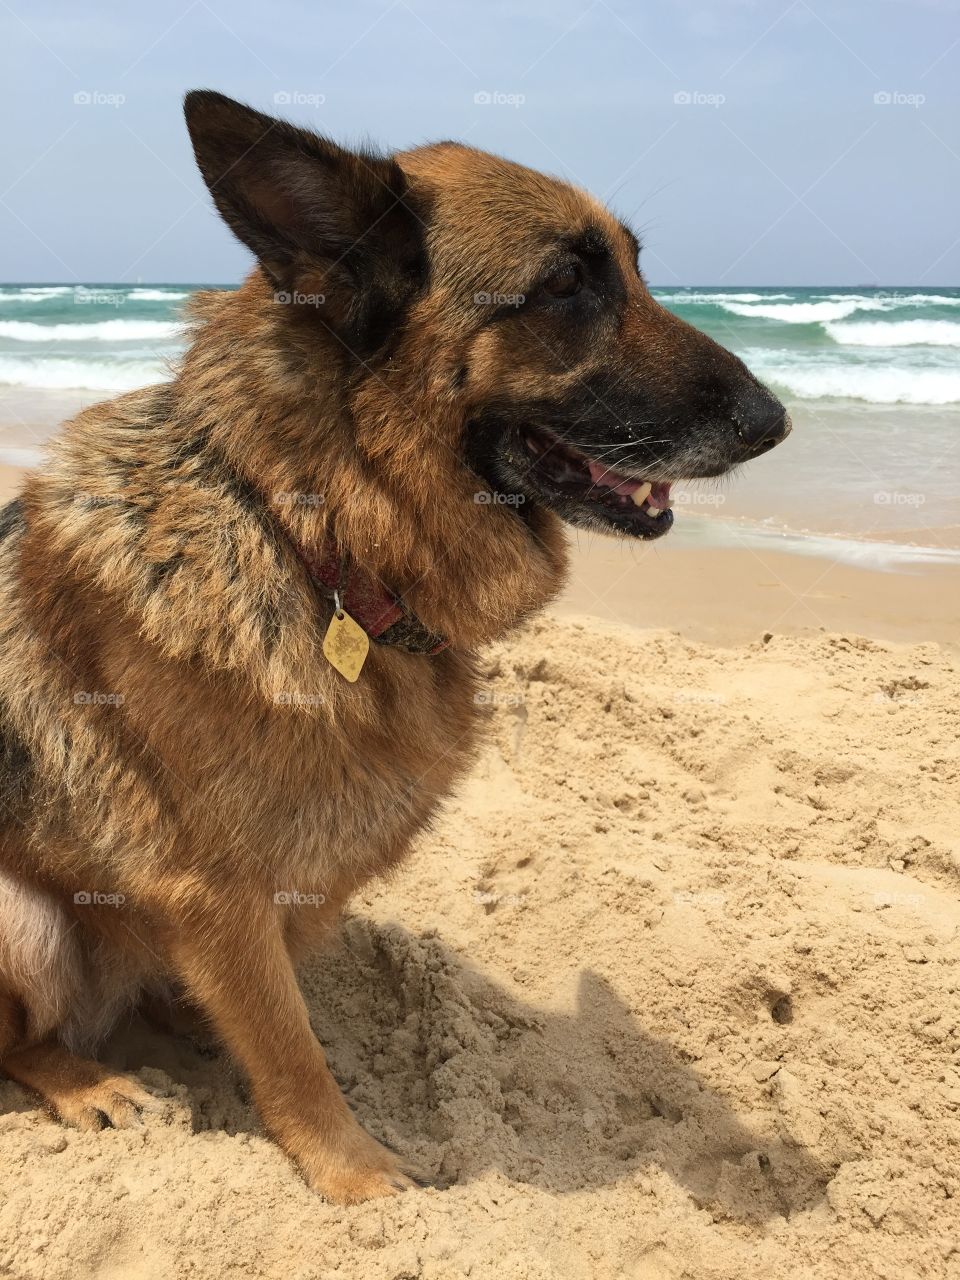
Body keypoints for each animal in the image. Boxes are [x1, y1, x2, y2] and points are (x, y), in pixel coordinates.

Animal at [0, 94, 788, 1203]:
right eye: (563, 286)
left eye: (634, 268)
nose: (775, 421)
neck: (307, 536)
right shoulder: (216, 896)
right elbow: (291, 1050)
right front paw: (362, 1177)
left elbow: (275, 1016)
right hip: (17, 916)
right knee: (20, 1042)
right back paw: (86, 1083)